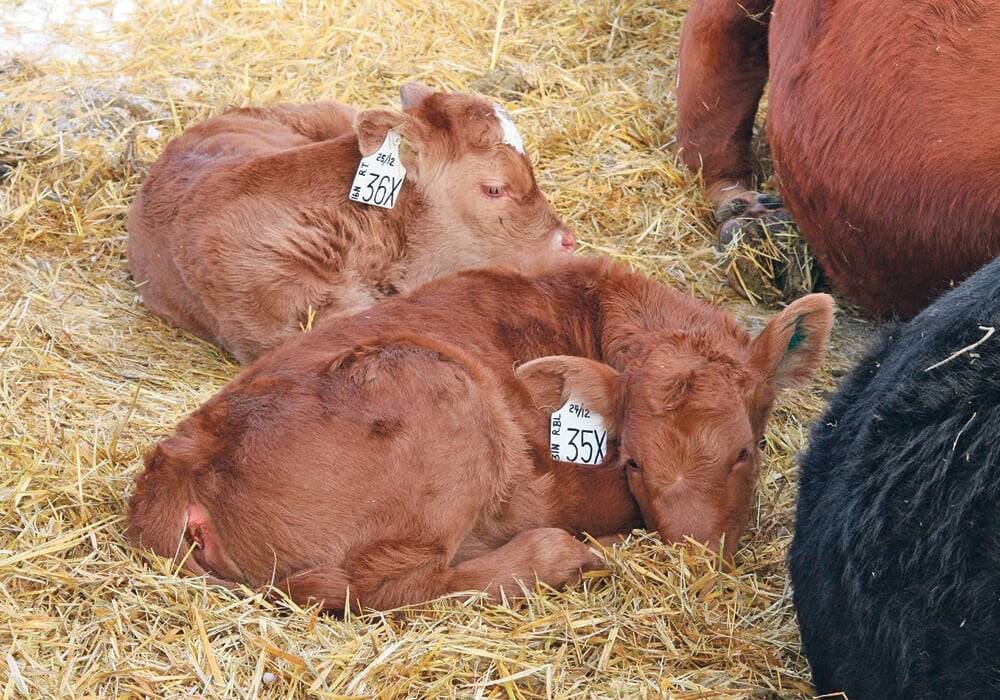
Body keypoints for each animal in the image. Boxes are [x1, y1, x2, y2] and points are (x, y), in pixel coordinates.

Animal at [127, 255, 833, 611]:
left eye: (746, 451)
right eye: (631, 463)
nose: (691, 563)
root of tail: (176, 465)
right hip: (439, 393)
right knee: (380, 587)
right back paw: (569, 554)